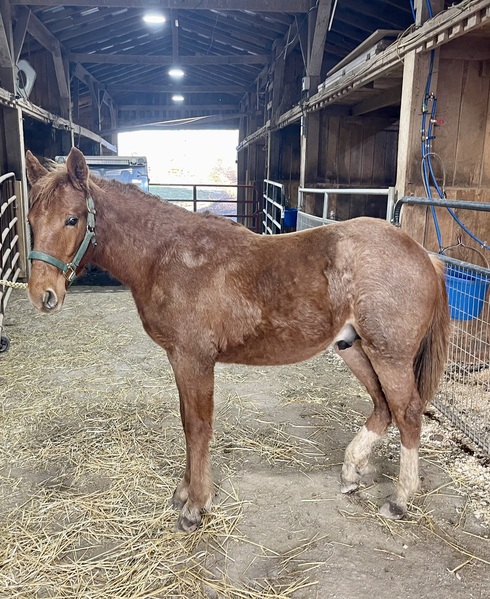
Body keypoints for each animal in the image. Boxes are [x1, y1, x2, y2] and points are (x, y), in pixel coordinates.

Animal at [24, 148, 450, 532]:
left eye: (72, 219)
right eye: (31, 219)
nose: (43, 294)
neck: (167, 256)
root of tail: (424, 255)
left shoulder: (193, 358)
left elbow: (197, 426)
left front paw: (196, 505)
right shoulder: (180, 359)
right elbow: (188, 421)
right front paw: (185, 491)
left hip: (390, 355)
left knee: (408, 413)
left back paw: (399, 500)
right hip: (354, 348)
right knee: (382, 407)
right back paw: (350, 473)